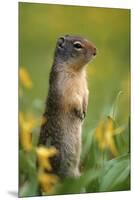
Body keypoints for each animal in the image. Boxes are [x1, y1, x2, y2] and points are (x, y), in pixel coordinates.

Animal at [38, 34, 96, 178]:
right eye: (77, 45)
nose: (95, 51)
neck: (77, 71)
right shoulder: (65, 86)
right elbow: (73, 99)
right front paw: (80, 112)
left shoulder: (84, 86)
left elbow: (86, 94)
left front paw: (85, 110)